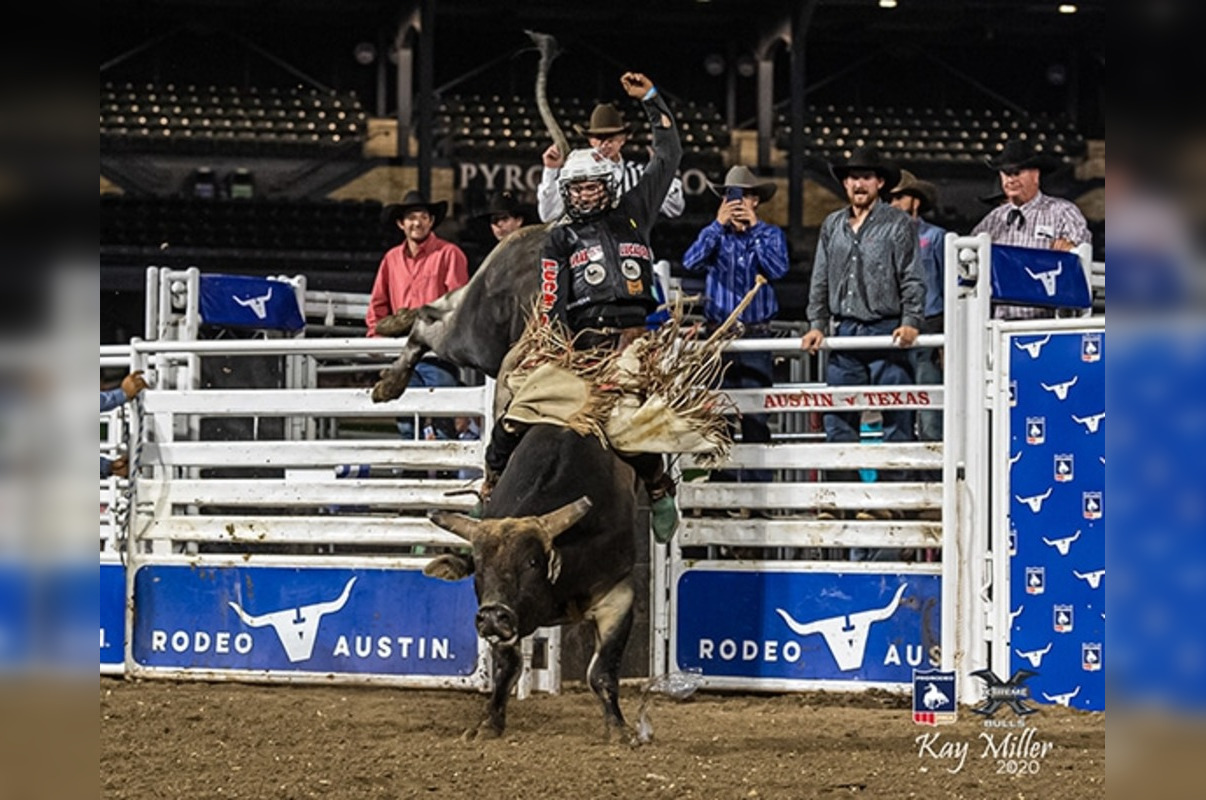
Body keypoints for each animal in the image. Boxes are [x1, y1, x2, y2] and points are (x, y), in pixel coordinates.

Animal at [429, 424, 646, 743]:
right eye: (479, 566)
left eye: (532, 563)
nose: (492, 615)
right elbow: (507, 669)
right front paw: (490, 724)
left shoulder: (617, 596)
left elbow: (602, 671)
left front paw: (618, 730)